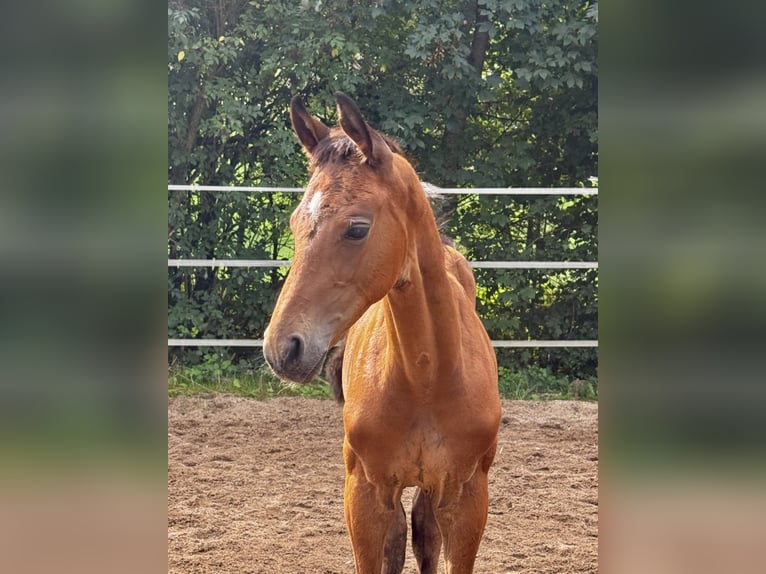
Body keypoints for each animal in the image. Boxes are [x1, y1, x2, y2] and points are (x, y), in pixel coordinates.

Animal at [263, 92, 501, 574]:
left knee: (424, 535)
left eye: (357, 228)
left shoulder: (467, 497)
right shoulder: (366, 494)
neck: (427, 379)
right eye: (296, 224)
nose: (283, 349)